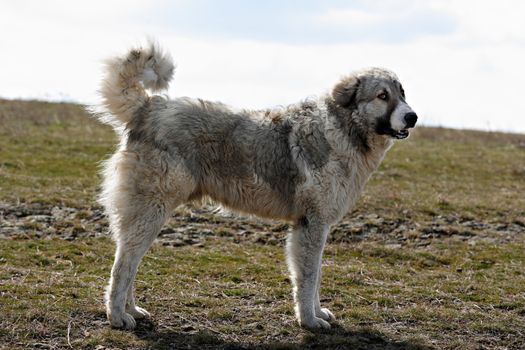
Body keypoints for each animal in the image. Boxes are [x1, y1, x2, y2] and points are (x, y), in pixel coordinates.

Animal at [91, 42, 418, 330]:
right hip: (151, 211)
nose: (412, 116)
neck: (343, 129)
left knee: (128, 264)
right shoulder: (312, 224)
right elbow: (308, 277)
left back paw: (132, 310)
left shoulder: (312, 226)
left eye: (402, 93)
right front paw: (309, 321)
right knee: (123, 266)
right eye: (382, 95)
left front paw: (317, 313)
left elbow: (313, 276)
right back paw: (118, 317)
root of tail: (148, 107)